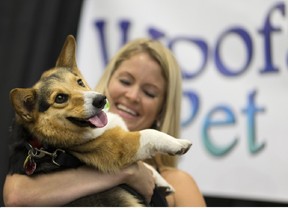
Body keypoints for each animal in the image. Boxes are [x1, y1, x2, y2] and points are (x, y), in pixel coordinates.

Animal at [9, 34, 192, 207]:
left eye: (79, 82)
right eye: (60, 98)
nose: (101, 99)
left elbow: (148, 166)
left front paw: (162, 182)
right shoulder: (121, 146)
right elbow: (149, 134)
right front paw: (179, 144)